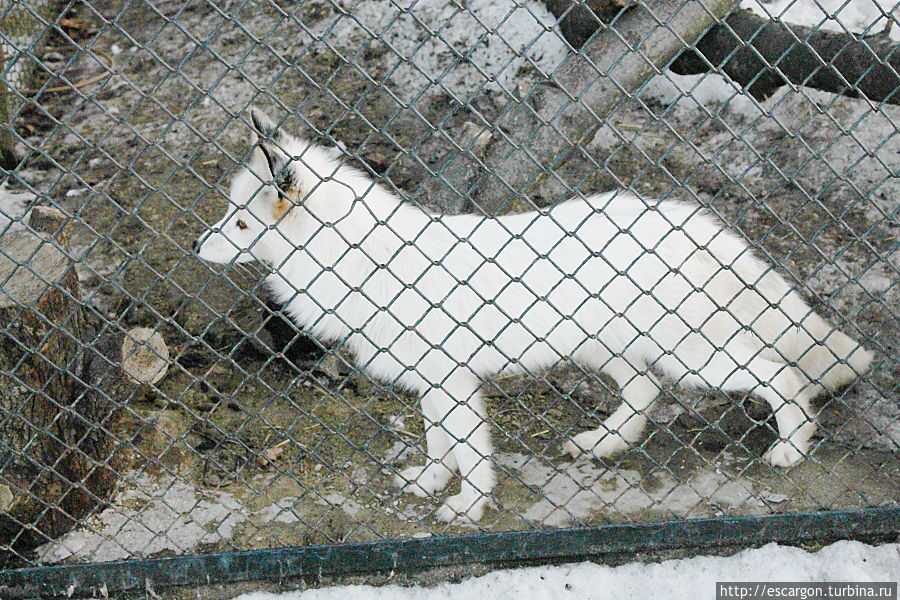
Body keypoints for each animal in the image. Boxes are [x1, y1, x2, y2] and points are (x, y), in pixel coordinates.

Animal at [197, 110, 872, 524]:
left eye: (241, 223)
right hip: (612, 349)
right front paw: (429, 483)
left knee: (782, 378)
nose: (200, 246)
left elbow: (471, 455)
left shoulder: (453, 383)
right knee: (645, 393)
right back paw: (603, 443)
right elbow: (438, 444)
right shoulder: (432, 383)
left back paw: (790, 449)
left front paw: (467, 507)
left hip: (697, 357)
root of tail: (697, 222)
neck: (361, 259)